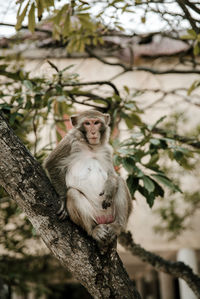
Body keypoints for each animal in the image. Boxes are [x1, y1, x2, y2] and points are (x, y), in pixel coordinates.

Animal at [44, 110, 133, 244]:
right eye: (87, 123)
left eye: (96, 123)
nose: (93, 132)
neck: (92, 147)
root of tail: (104, 219)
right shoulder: (69, 142)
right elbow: (51, 164)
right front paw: (63, 200)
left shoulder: (107, 150)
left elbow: (112, 174)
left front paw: (110, 186)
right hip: (93, 216)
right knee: (73, 193)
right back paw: (93, 230)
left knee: (121, 181)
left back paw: (117, 226)